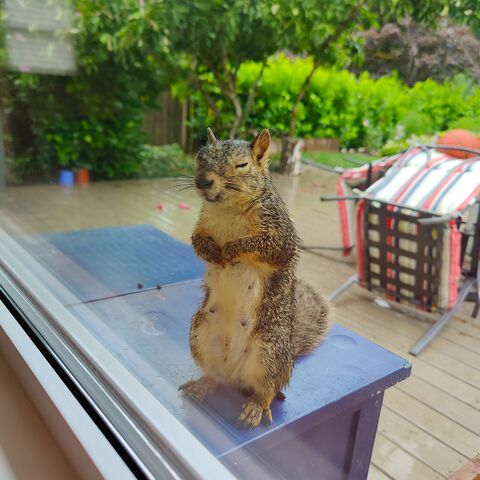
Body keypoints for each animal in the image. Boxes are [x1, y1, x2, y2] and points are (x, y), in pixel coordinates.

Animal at [179, 127, 329, 429]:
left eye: (242, 165)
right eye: (200, 158)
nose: (203, 181)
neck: (228, 207)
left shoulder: (279, 231)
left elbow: (268, 247)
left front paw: (233, 249)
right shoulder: (202, 223)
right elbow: (197, 242)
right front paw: (212, 252)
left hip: (268, 353)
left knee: (266, 390)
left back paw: (255, 407)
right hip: (200, 334)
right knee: (215, 376)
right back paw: (204, 384)